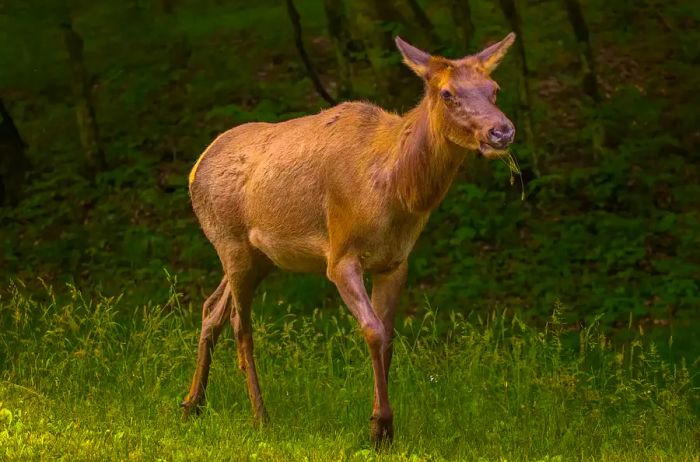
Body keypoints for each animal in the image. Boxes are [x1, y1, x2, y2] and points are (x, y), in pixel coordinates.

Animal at [183, 32, 516, 444]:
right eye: (447, 93)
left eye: (494, 88)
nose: (502, 131)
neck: (395, 191)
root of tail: (195, 169)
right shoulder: (340, 255)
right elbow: (372, 330)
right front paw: (381, 426)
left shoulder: (396, 261)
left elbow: (389, 337)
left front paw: (382, 429)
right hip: (230, 241)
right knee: (239, 323)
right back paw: (260, 416)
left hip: (258, 256)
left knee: (211, 307)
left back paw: (192, 404)